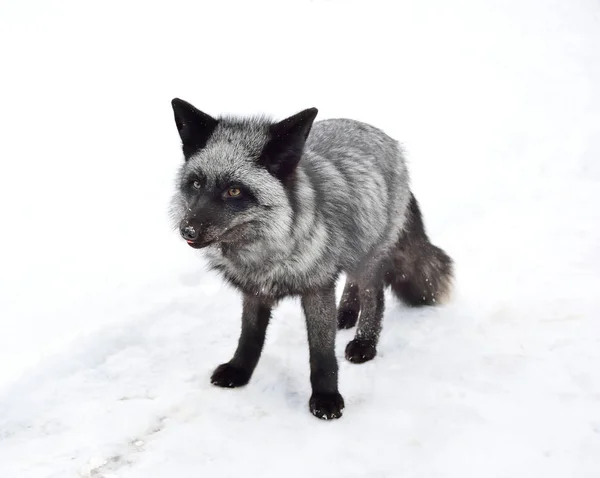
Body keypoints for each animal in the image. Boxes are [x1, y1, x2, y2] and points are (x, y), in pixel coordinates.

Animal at [170, 99, 454, 420]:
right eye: (196, 184)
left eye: (234, 190)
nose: (187, 230)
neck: (266, 252)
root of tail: (381, 135)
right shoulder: (255, 290)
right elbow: (249, 335)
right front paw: (239, 371)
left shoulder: (317, 287)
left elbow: (322, 352)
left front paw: (326, 398)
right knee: (351, 282)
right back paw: (345, 314)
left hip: (368, 256)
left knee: (374, 296)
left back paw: (364, 341)